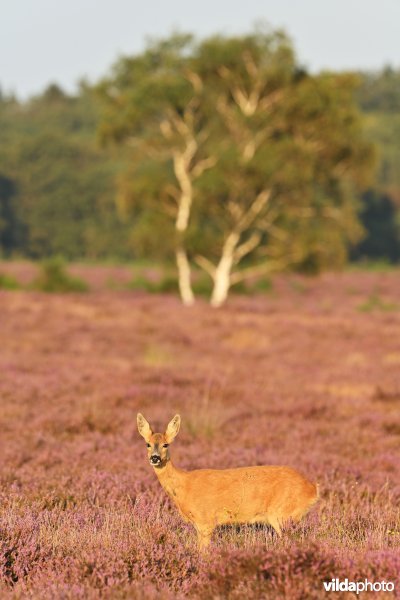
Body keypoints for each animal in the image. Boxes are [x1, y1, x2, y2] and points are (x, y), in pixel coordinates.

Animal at [138, 412, 318, 548]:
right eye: (147, 444)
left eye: (166, 444)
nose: (154, 458)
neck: (184, 486)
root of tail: (312, 489)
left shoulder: (206, 521)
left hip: (282, 514)